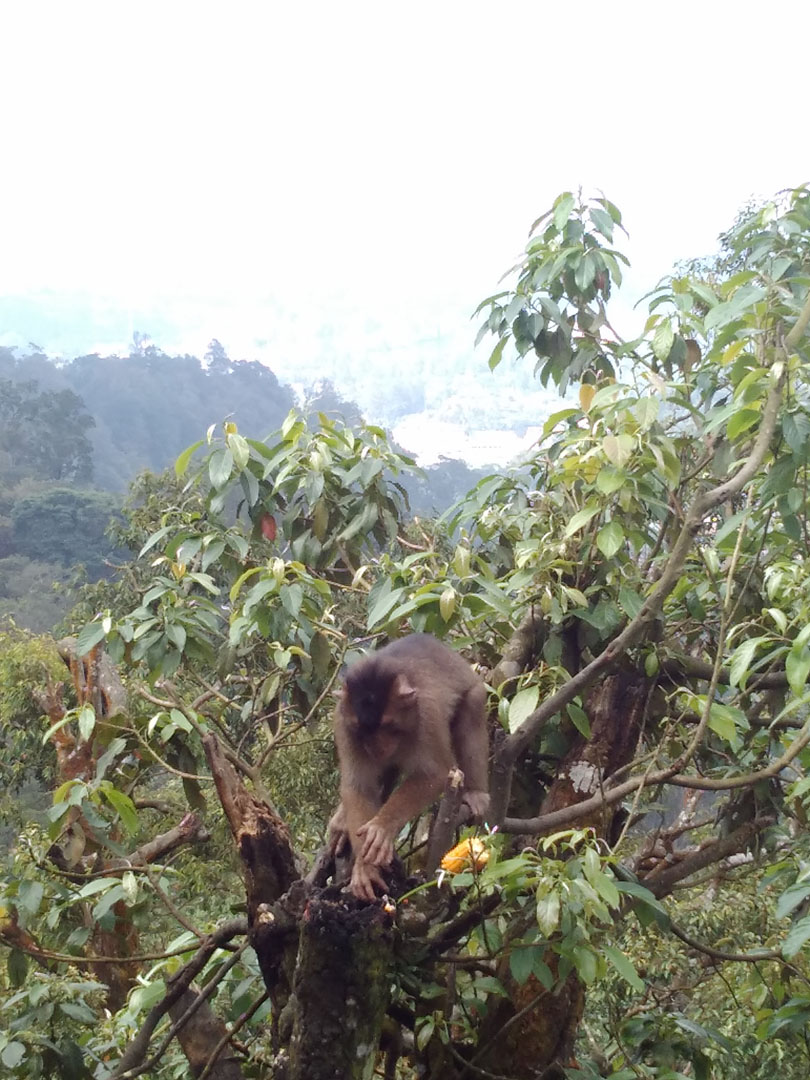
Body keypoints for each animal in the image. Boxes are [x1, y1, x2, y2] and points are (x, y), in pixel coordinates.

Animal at [330, 630, 488, 902]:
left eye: (387, 725)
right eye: (363, 729)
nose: (376, 746)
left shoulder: (426, 714)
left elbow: (435, 774)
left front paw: (382, 827)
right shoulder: (344, 724)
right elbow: (358, 786)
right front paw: (365, 867)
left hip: (474, 690)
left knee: (472, 707)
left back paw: (477, 793)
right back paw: (341, 821)